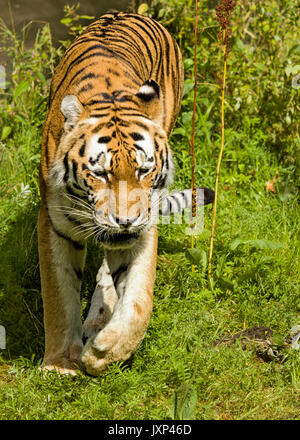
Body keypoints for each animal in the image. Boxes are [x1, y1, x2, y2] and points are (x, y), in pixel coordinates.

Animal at [38, 11, 214, 374]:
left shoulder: (145, 227)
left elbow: (139, 300)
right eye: (100, 173)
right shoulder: (54, 224)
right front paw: (60, 365)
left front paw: (104, 351)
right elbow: (58, 296)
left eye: (143, 170)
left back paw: (99, 322)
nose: (125, 222)